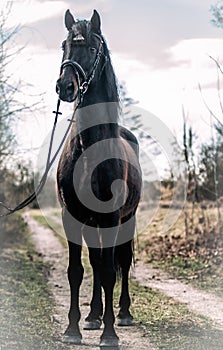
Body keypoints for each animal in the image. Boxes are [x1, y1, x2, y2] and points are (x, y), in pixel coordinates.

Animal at [55, 8, 141, 348]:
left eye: (92, 49)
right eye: (64, 46)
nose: (64, 87)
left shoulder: (112, 218)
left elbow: (108, 271)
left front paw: (110, 334)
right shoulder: (71, 216)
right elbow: (77, 270)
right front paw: (73, 329)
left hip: (126, 221)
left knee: (120, 262)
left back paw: (123, 314)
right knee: (96, 260)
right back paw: (92, 316)